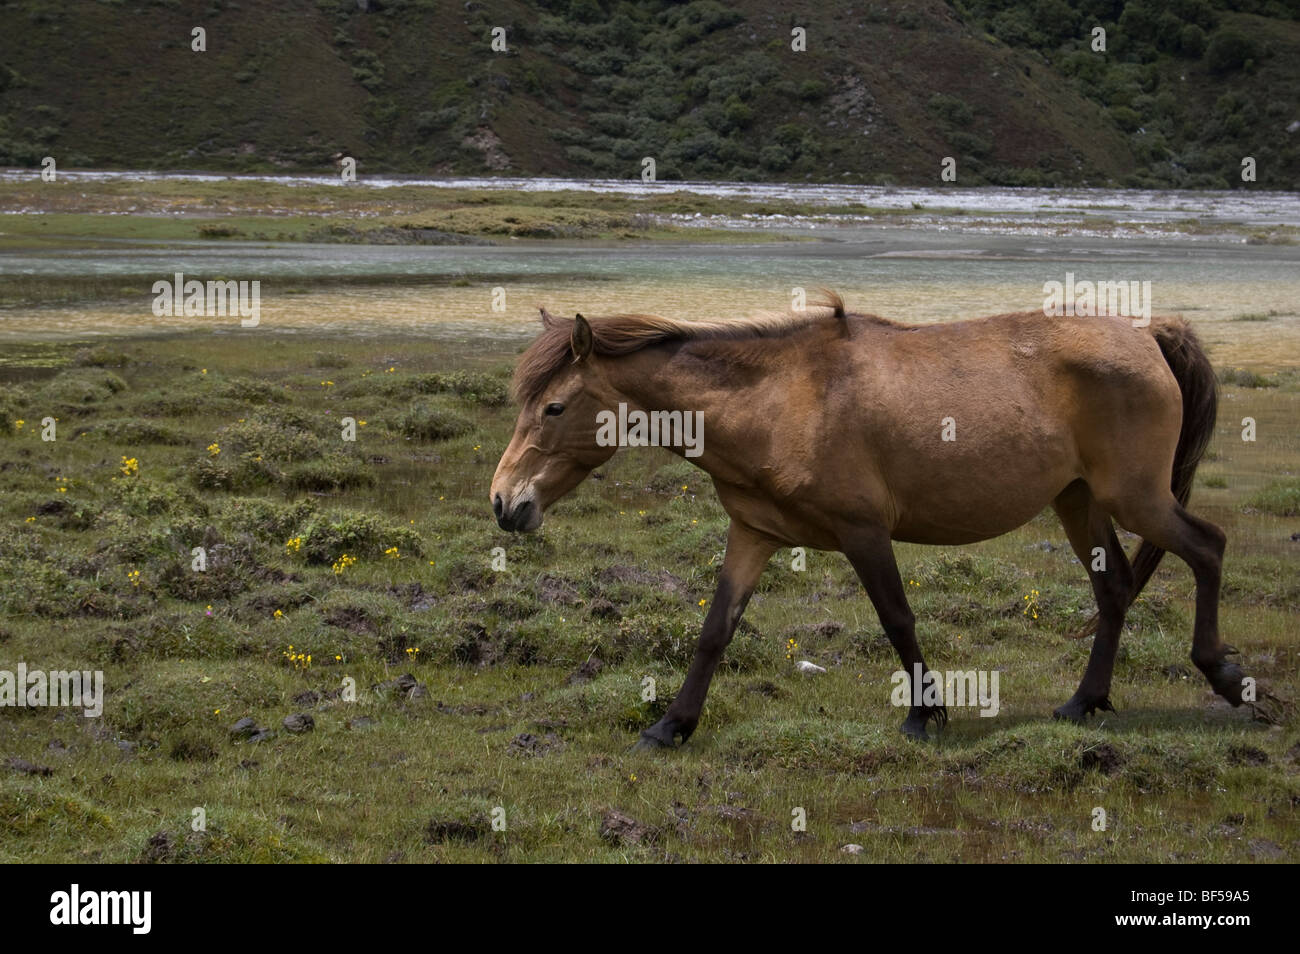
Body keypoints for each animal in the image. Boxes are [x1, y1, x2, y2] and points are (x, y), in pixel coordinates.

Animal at [488, 291, 1258, 748]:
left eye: (553, 406)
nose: (505, 503)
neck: (778, 400)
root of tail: (1149, 334)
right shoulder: (754, 534)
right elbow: (715, 631)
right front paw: (671, 725)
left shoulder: (864, 533)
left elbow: (896, 618)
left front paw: (925, 713)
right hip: (1079, 502)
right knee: (1116, 588)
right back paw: (1083, 703)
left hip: (1136, 498)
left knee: (1209, 547)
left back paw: (1223, 675)